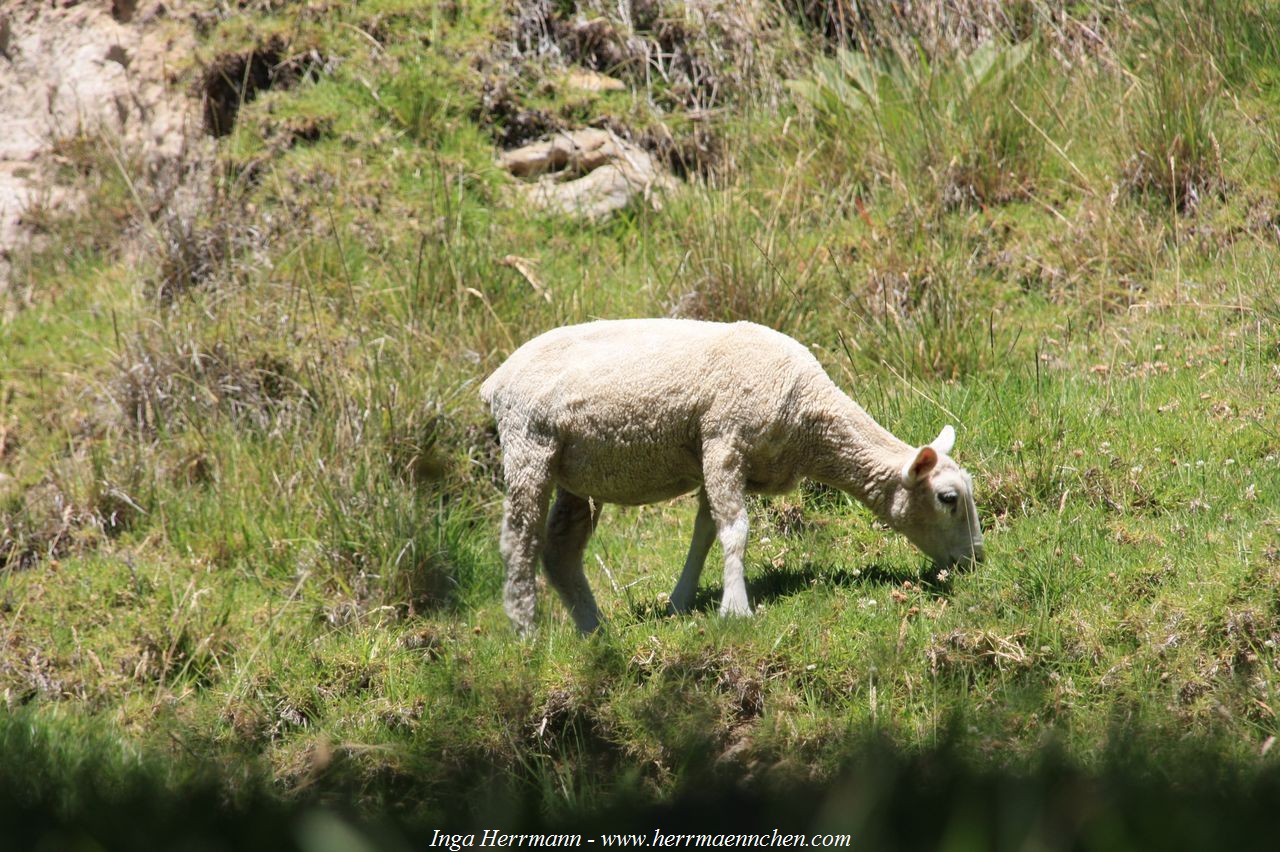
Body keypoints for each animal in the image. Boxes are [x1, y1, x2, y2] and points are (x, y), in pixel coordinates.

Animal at [483, 317, 983, 629]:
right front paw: (737, 611)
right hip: (529, 446)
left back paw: (593, 629)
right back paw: (526, 632)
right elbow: (735, 529)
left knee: (560, 551)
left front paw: (681, 603)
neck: (809, 417)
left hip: (577, 475)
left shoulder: (722, 456)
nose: (977, 561)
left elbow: (706, 530)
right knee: (518, 544)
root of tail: (496, 379)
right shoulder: (724, 438)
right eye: (948, 498)